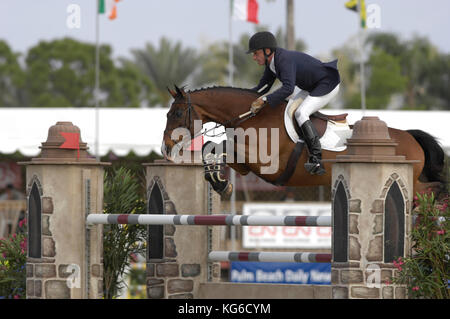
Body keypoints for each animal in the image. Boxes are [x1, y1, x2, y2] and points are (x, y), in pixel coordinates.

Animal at [162, 86, 446, 199]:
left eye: (177, 113)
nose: (166, 148)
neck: (252, 116)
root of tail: (410, 136)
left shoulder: (265, 161)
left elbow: (219, 147)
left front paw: (221, 184)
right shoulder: (244, 164)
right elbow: (213, 149)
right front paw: (221, 184)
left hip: (409, 180)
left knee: (432, 189)